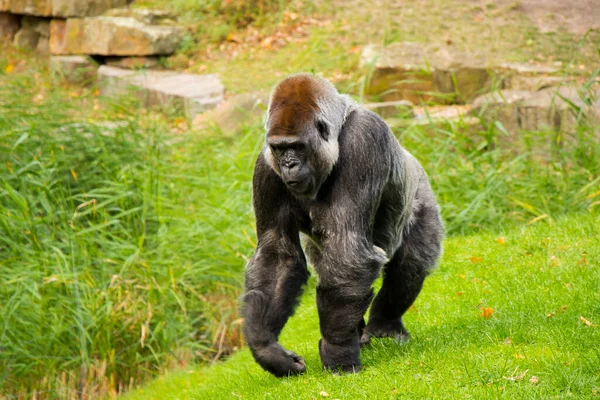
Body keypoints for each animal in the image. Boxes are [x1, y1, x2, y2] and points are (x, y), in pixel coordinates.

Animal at [241, 73, 442, 376]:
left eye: (297, 147)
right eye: (279, 148)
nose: (288, 165)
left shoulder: (363, 141)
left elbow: (349, 249)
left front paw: (338, 351)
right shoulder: (265, 167)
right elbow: (276, 256)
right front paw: (268, 350)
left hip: (420, 195)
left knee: (411, 263)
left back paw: (384, 326)